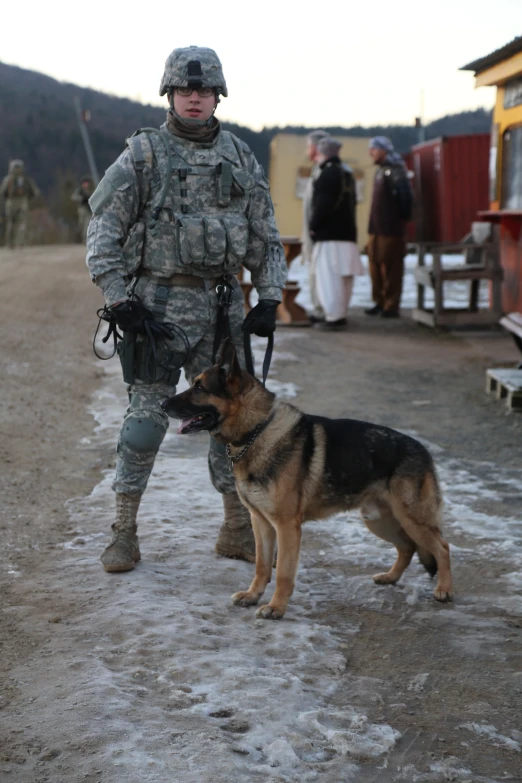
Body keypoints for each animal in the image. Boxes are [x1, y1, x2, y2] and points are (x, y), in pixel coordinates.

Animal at [159, 340, 450, 620]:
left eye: (199, 387)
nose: (162, 404)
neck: (256, 431)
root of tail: (423, 450)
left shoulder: (286, 527)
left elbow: (283, 573)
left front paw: (276, 608)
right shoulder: (260, 522)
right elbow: (262, 565)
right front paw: (253, 596)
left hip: (412, 519)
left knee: (442, 547)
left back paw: (444, 590)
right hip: (378, 520)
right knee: (408, 547)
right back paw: (391, 577)